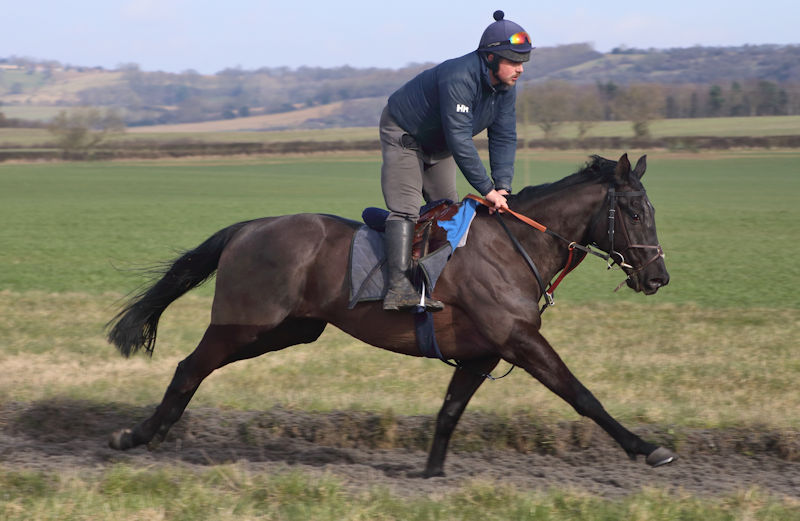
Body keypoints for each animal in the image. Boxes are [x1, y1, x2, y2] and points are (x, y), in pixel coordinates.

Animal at [106, 153, 676, 476]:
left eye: (652, 209)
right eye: (633, 211)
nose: (657, 277)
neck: (515, 245)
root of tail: (247, 228)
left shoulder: (483, 352)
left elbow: (449, 411)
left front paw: (430, 473)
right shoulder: (519, 339)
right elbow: (583, 395)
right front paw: (648, 448)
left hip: (289, 330)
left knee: (196, 369)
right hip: (242, 324)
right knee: (189, 368)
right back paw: (135, 436)